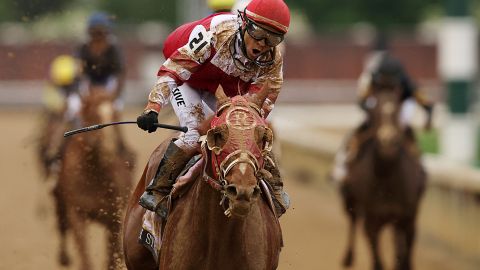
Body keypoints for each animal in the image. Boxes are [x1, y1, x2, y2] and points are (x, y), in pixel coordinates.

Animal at [56, 87, 135, 268]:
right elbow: (85, 258)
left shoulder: (114, 217)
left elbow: (111, 259)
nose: (110, 148)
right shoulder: (76, 213)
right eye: (92, 113)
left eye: (115, 115)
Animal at [342, 74, 428, 270]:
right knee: (352, 221)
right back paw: (348, 258)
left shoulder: (408, 218)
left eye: (397, 108)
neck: (388, 180)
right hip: (350, 200)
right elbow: (378, 260)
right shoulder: (372, 221)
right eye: (375, 109)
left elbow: (405, 255)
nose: (387, 139)